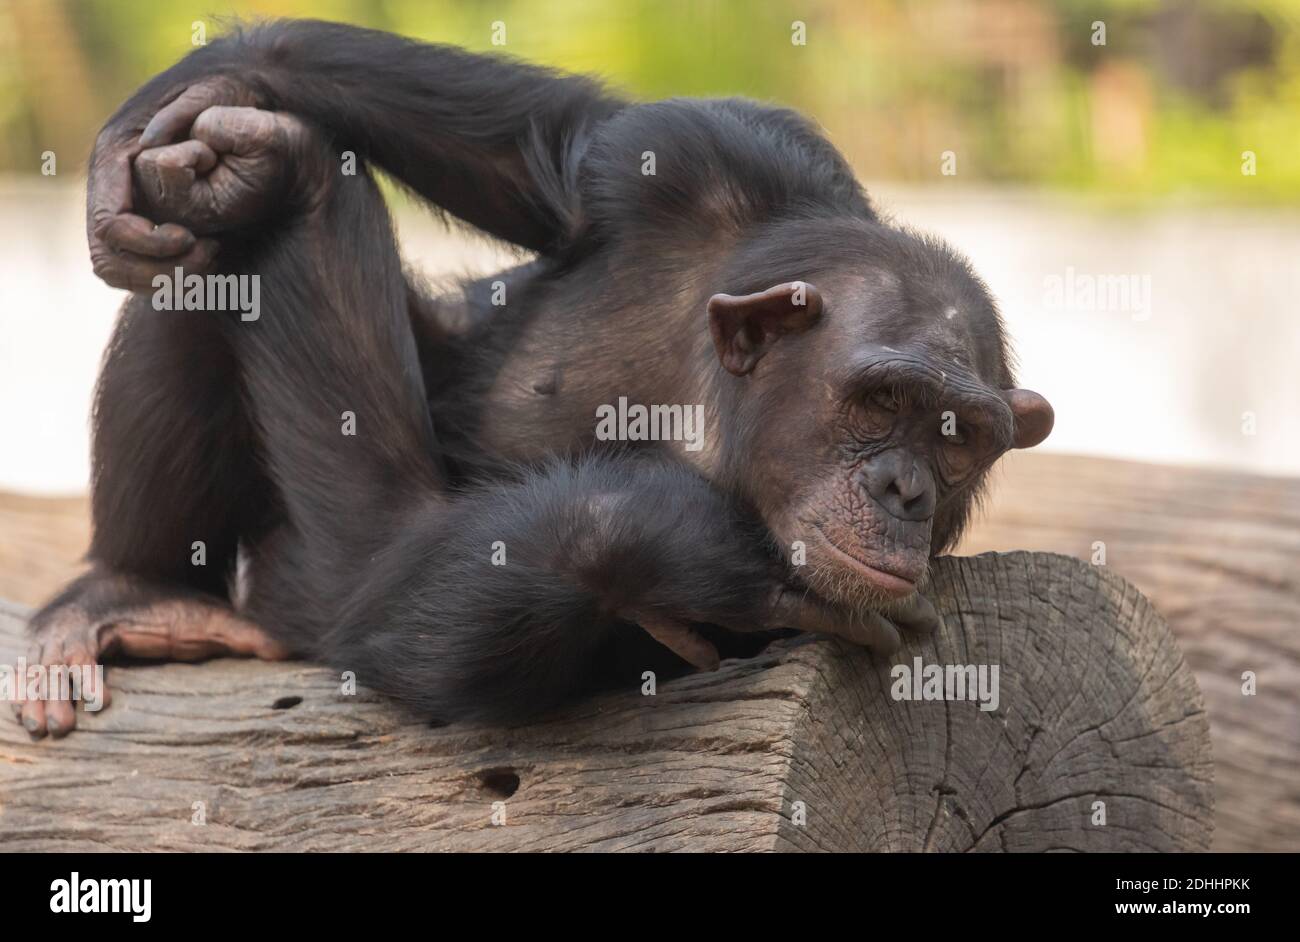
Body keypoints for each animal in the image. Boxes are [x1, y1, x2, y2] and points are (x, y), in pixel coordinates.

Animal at [15, 20, 1052, 737]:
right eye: (882, 400)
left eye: (955, 438)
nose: (906, 488)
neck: (709, 406)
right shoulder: (711, 152)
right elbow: (541, 148)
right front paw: (189, 97)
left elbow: (393, 590)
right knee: (210, 237)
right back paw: (131, 588)